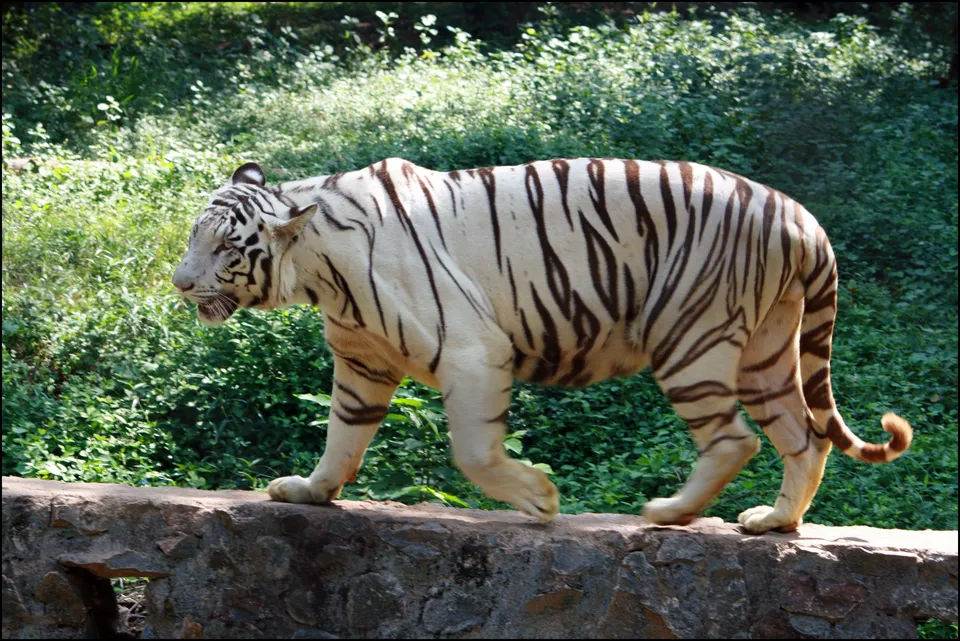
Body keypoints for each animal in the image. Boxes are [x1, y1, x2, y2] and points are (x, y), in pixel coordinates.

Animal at [172, 157, 912, 534]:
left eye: (225, 248)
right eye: (193, 236)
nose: (179, 284)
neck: (318, 270)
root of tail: (803, 218)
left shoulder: (471, 350)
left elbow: (472, 450)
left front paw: (538, 498)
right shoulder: (362, 361)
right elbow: (342, 437)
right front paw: (308, 491)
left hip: (690, 336)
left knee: (734, 440)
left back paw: (668, 512)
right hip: (766, 350)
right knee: (803, 436)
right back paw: (774, 521)